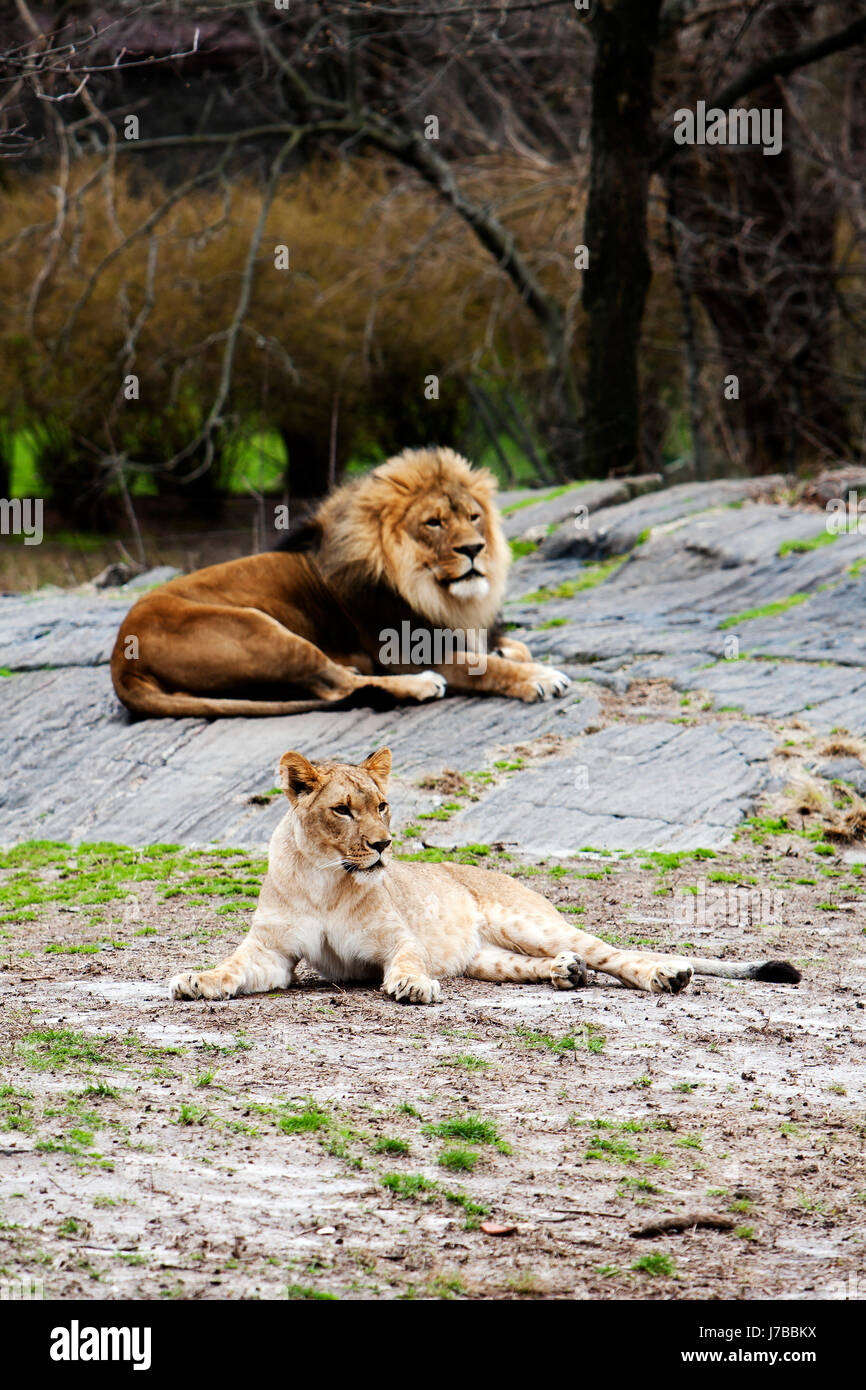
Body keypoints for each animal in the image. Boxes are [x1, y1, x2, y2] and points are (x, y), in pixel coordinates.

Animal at [111, 446, 571, 718]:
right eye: (434, 522)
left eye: (473, 516)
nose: (475, 548)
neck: (435, 592)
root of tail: (121, 660)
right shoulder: (401, 652)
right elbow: (484, 666)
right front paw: (539, 677)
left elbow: (511, 648)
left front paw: (514, 654)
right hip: (259, 630)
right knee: (337, 685)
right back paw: (418, 685)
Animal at [168, 748, 801, 1005]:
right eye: (343, 810)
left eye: (382, 805)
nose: (383, 845)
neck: (328, 876)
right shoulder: (272, 954)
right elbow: (232, 969)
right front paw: (196, 981)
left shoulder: (398, 940)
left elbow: (406, 962)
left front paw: (413, 988)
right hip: (487, 958)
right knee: (546, 965)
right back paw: (566, 973)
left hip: (533, 923)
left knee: (617, 954)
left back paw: (666, 975)